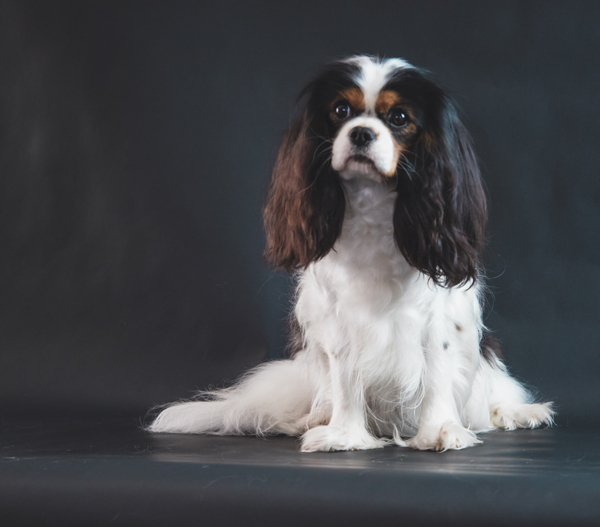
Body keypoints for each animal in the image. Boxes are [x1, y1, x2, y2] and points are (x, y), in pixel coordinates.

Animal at [149, 55, 554, 451]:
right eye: (341, 110)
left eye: (399, 118)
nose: (361, 132)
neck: (374, 202)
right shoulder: (337, 318)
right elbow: (345, 377)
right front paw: (343, 434)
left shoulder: (441, 313)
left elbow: (439, 368)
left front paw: (439, 431)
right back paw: (313, 418)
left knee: (491, 393)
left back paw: (516, 411)